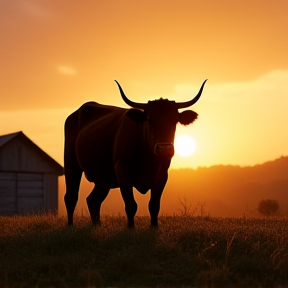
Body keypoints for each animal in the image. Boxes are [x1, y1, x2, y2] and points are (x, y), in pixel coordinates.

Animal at [63, 79, 207, 227]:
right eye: (149, 119)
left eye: (174, 120)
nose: (164, 149)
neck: (149, 160)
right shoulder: (123, 172)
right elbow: (131, 205)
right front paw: (131, 228)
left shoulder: (162, 176)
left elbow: (154, 205)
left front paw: (154, 228)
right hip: (71, 164)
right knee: (71, 196)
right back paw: (70, 225)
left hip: (104, 175)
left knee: (93, 200)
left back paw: (97, 225)